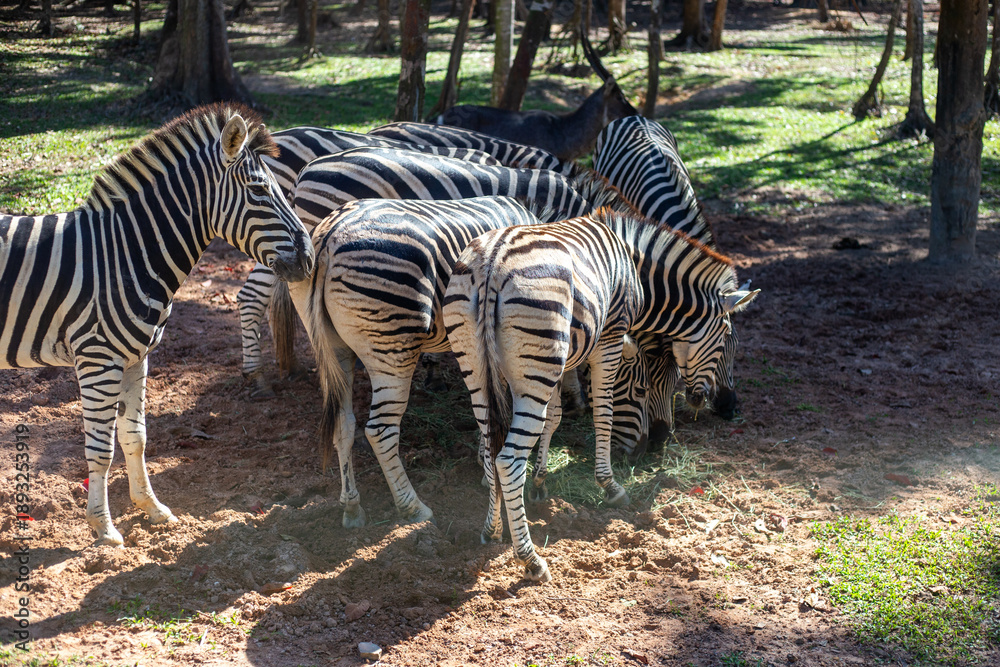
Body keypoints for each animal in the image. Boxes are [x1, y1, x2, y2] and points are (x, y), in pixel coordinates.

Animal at [0, 104, 314, 546]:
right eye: (259, 191)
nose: (309, 260)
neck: (126, 254)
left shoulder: (135, 357)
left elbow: (135, 438)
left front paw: (152, 509)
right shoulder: (98, 360)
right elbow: (100, 450)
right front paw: (104, 528)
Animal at [443, 208, 758, 582]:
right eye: (726, 341)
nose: (711, 403)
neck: (636, 270)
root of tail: (492, 259)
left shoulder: (563, 358)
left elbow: (554, 418)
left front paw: (540, 483)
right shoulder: (609, 338)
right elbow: (603, 415)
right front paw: (610, 487)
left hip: (479, 366)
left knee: (492, 446)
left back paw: (491, 530)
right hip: (534, 369)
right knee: (507, 460)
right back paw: (531, 559)